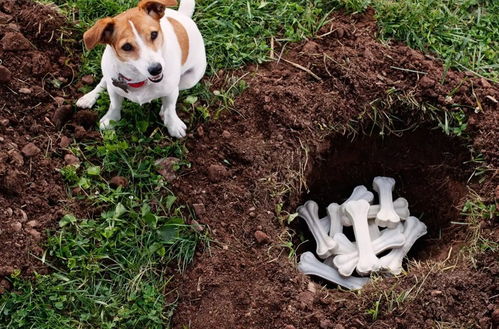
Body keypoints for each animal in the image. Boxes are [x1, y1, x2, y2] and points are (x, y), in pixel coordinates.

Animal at [74, 0, 207, 137]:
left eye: (154, 34)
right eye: (127, 46)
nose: (156, 69)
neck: (139, 78)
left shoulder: (171, 90)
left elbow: (170, 108)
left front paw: (173, 125)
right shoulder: (114, 87)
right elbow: (114, 104)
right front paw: (111, 119)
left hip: (191, 79)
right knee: (103, 82)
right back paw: (89, 97)